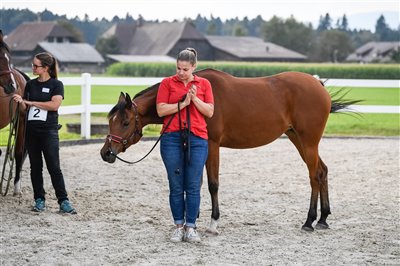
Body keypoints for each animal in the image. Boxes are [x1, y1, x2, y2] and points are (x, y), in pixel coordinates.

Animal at [101, 68, 356, 233]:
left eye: (125, 122)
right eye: (110, 120)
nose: (106, 153)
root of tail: (318, 85)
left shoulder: (212, 145)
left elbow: (212, 184)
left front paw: (214, 222)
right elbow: (196, 183)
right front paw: (194, 218)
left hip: (308, 141)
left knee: (314, 175)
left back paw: (309, 221)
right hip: (298, 139)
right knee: (322, 171)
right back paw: (323, 219)